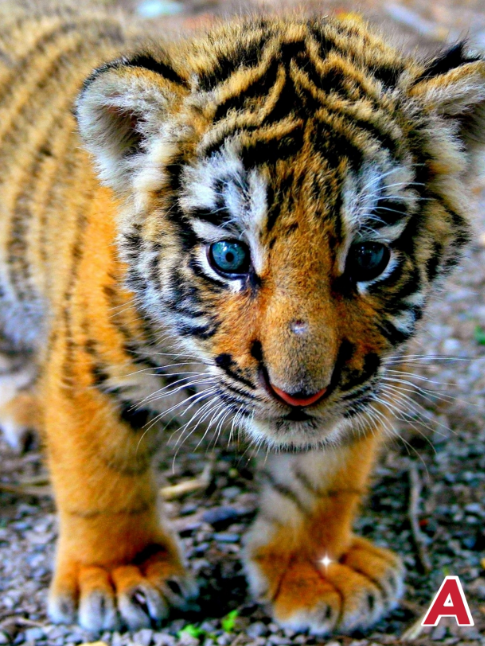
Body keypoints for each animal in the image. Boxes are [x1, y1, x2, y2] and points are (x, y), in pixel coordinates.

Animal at [0, 1, 484, 636]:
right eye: (228, 256)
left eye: (368, 258)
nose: (299, 394)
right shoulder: (89, 364)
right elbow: (100, 474)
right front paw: (119, 573)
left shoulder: (373, 375)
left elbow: (324, 479)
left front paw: (315, 568)